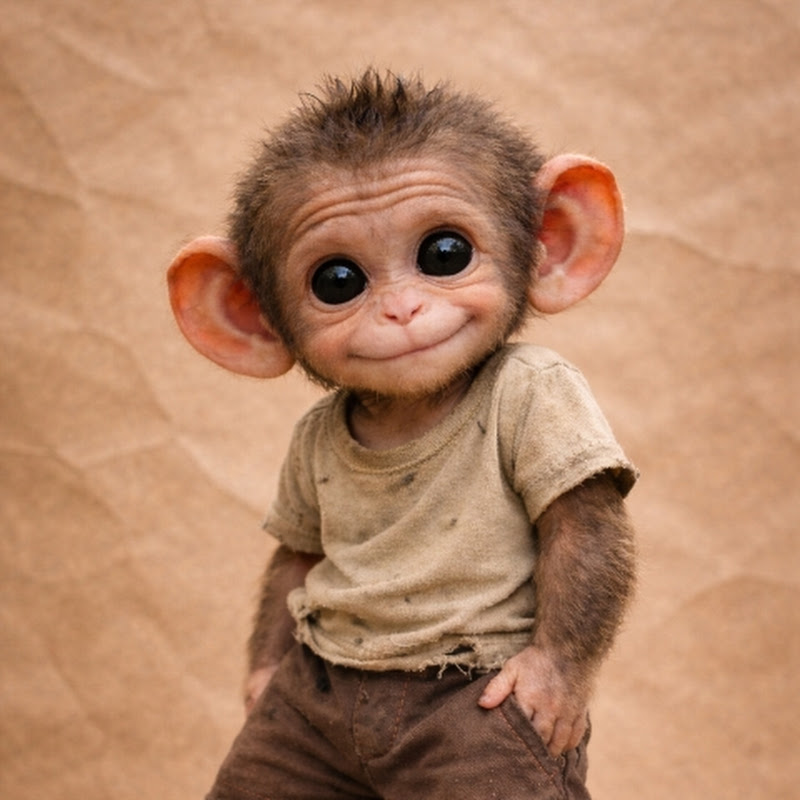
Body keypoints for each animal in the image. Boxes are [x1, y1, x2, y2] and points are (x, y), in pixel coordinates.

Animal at [167, 70, 637, 800]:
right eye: (337, 281)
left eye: (445, 253)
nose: (401, 310)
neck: (411, 415)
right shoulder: (299, 457)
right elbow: (295, 558)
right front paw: (257, 680)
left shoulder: (549, 394)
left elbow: (581, 528)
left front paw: (549, 688)